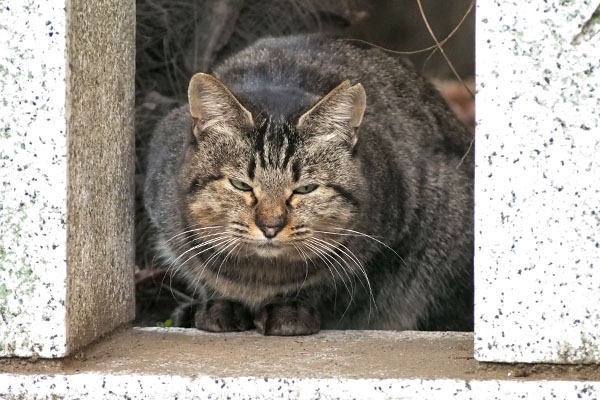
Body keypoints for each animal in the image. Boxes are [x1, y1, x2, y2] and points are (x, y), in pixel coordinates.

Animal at [144, 33, 474, 334]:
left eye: (305, 189)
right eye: (241, 186)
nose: (270, 226)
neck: (259, 277)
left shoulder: (384, 247)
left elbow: (330, 286)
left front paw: (291, 310)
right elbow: (205, 276)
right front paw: (221, 305)